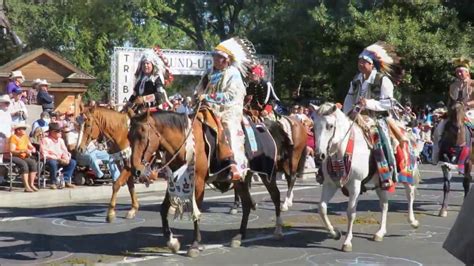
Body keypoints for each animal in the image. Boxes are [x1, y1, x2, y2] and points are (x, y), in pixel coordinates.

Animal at [128, 109, 284, 258]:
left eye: (143, 136)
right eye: (129, 137)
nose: (136, 171)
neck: (186, 144)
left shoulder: (198, 182)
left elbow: (196, 211)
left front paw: (195, 245)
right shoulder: (174, 182)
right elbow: (163, 209)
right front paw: (172, 242)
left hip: (266, 175)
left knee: (275, 196)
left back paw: (277, 230)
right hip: (241, 179)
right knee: (246, 204)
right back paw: (239, 236)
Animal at [312, 103, 418, 252]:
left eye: (330, 126)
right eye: (313, 126)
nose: (319, 155)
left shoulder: (355, 185)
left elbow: (351, 212)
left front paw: (347, 242)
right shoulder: (330, 184)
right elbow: (321, 208)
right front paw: (335, 233)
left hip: (407, 175)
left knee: (410, 195)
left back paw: (413, 221)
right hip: (382, 182)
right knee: (384, 204)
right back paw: (380, 233)